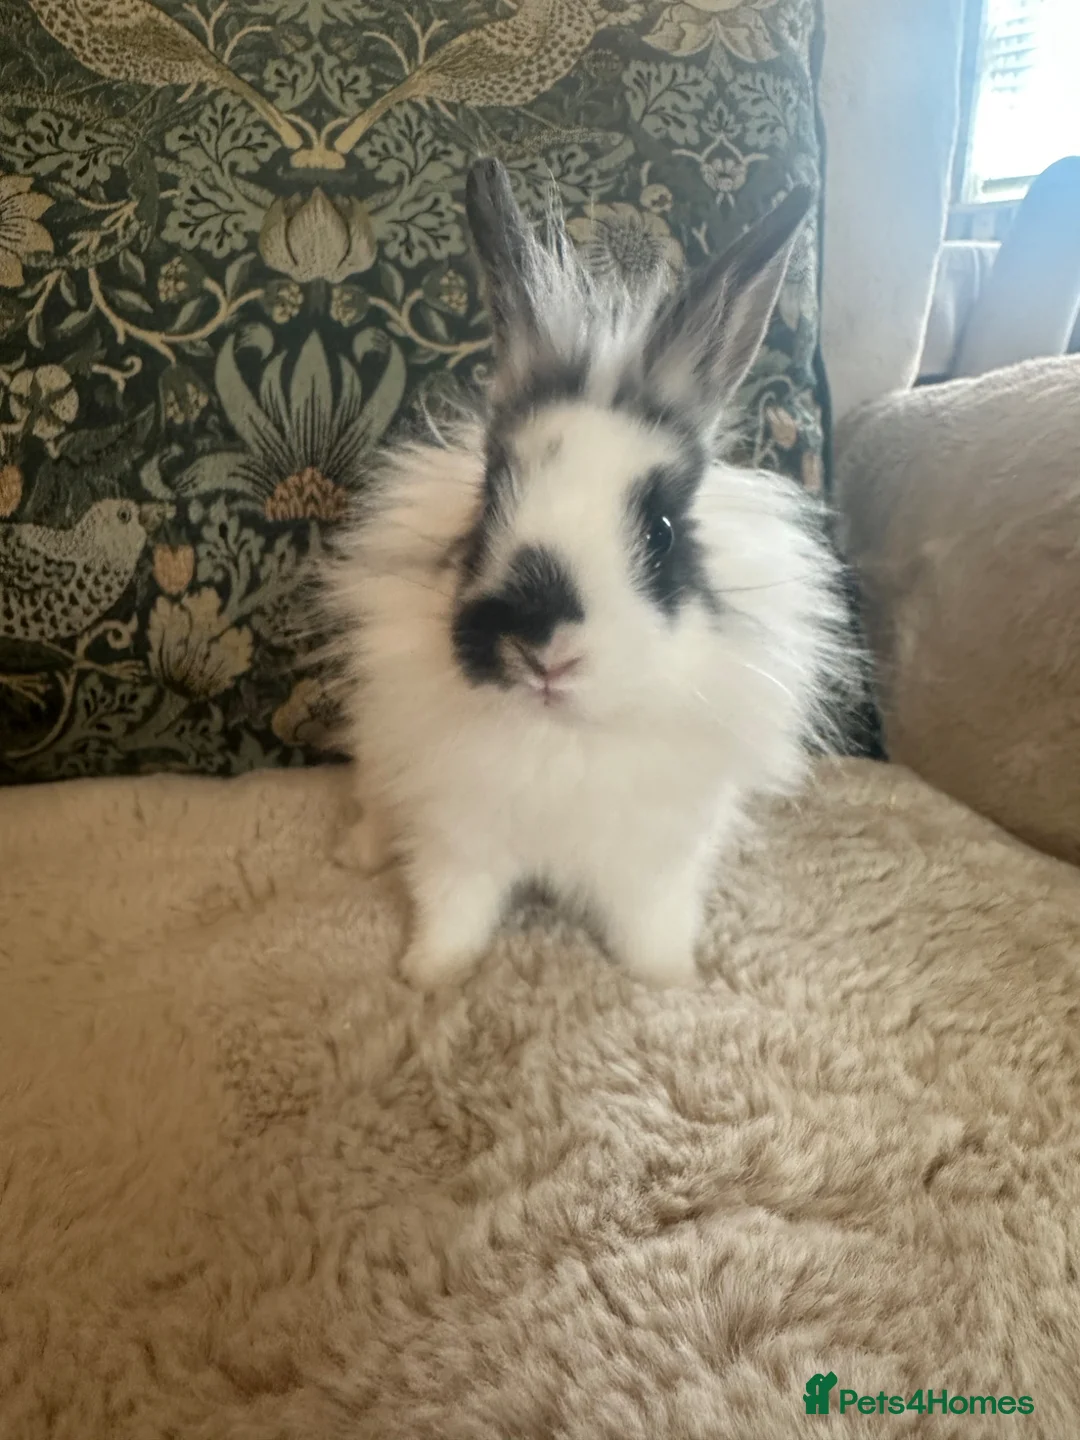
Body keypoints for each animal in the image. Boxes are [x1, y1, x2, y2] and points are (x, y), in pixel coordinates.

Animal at [327, 156, 852, 991]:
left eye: (661, 531)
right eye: (488, 504)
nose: (545, 651)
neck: (564, 733)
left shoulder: (656, 863)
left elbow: (651, 928)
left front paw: (671, 983)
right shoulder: (457, 839)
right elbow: (453, 910)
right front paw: (429, 976)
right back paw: (356, 854)